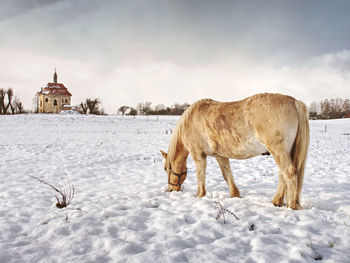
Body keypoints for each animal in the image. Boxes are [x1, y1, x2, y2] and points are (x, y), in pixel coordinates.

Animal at [161, 93, 308, 210]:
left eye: (166, 168)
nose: (170, 189)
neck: (190, 121)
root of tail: (294, 101)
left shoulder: (198, 155)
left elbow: (200, 175)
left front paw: (200, 195)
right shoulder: (220, 155)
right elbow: (226, 174)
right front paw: (234, 194)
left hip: (279, 151)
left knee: (289, 173)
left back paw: (291, 205)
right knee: (282, 175)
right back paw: (277, 202)